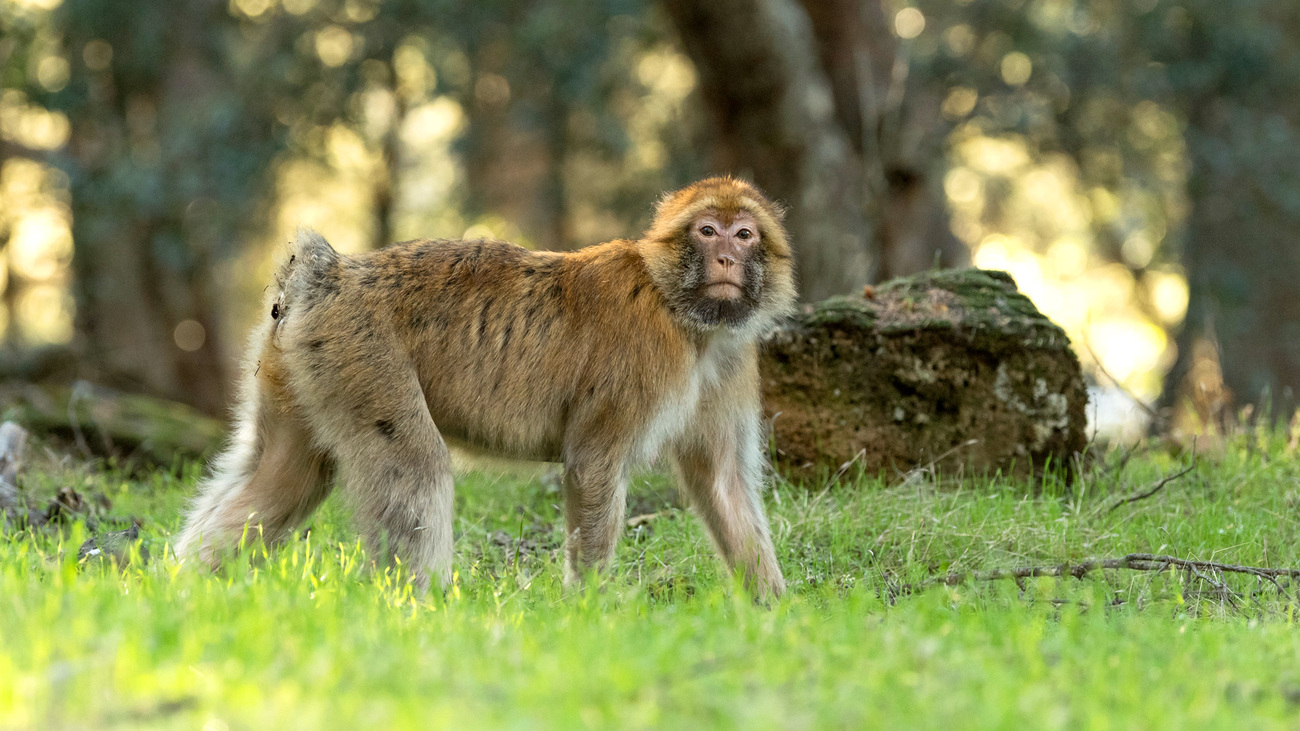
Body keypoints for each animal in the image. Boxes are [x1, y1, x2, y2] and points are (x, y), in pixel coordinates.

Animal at [174, 176, 795, 598]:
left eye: (745, 234)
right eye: (707, 231)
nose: (725, 256)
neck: (683, 314)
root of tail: (329, 274)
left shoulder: (731, 364)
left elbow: (722, 486)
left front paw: (775, 613)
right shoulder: (641, 367)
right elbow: (593, 465)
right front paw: (591, 607)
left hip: (299, 367)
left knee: (282, 477)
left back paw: (184, 589)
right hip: (362, 357)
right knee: (415, 466)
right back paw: (417, 609)